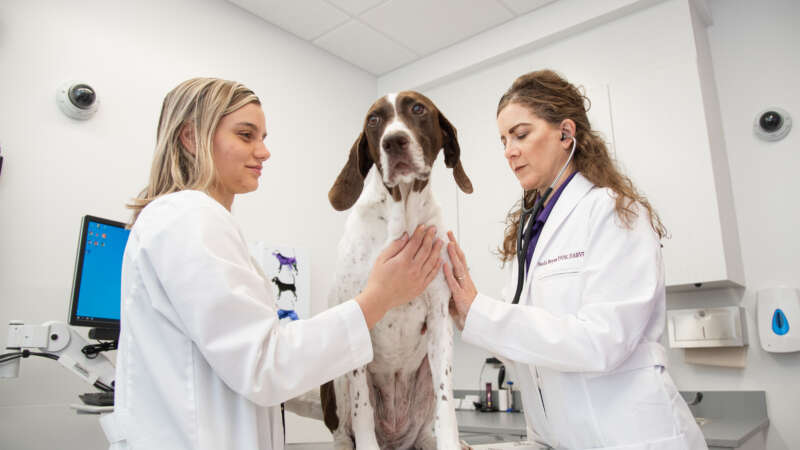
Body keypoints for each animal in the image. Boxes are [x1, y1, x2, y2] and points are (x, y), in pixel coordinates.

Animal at [322, 92, 472, 450]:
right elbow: (361, 407)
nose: (393, 142)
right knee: (342, 429)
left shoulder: (440, 316)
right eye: (373, 120)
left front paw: (451, 441)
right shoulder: (360, 314)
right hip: (338, 378)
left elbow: (446, 403)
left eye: (417, 108)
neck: (402, 215)